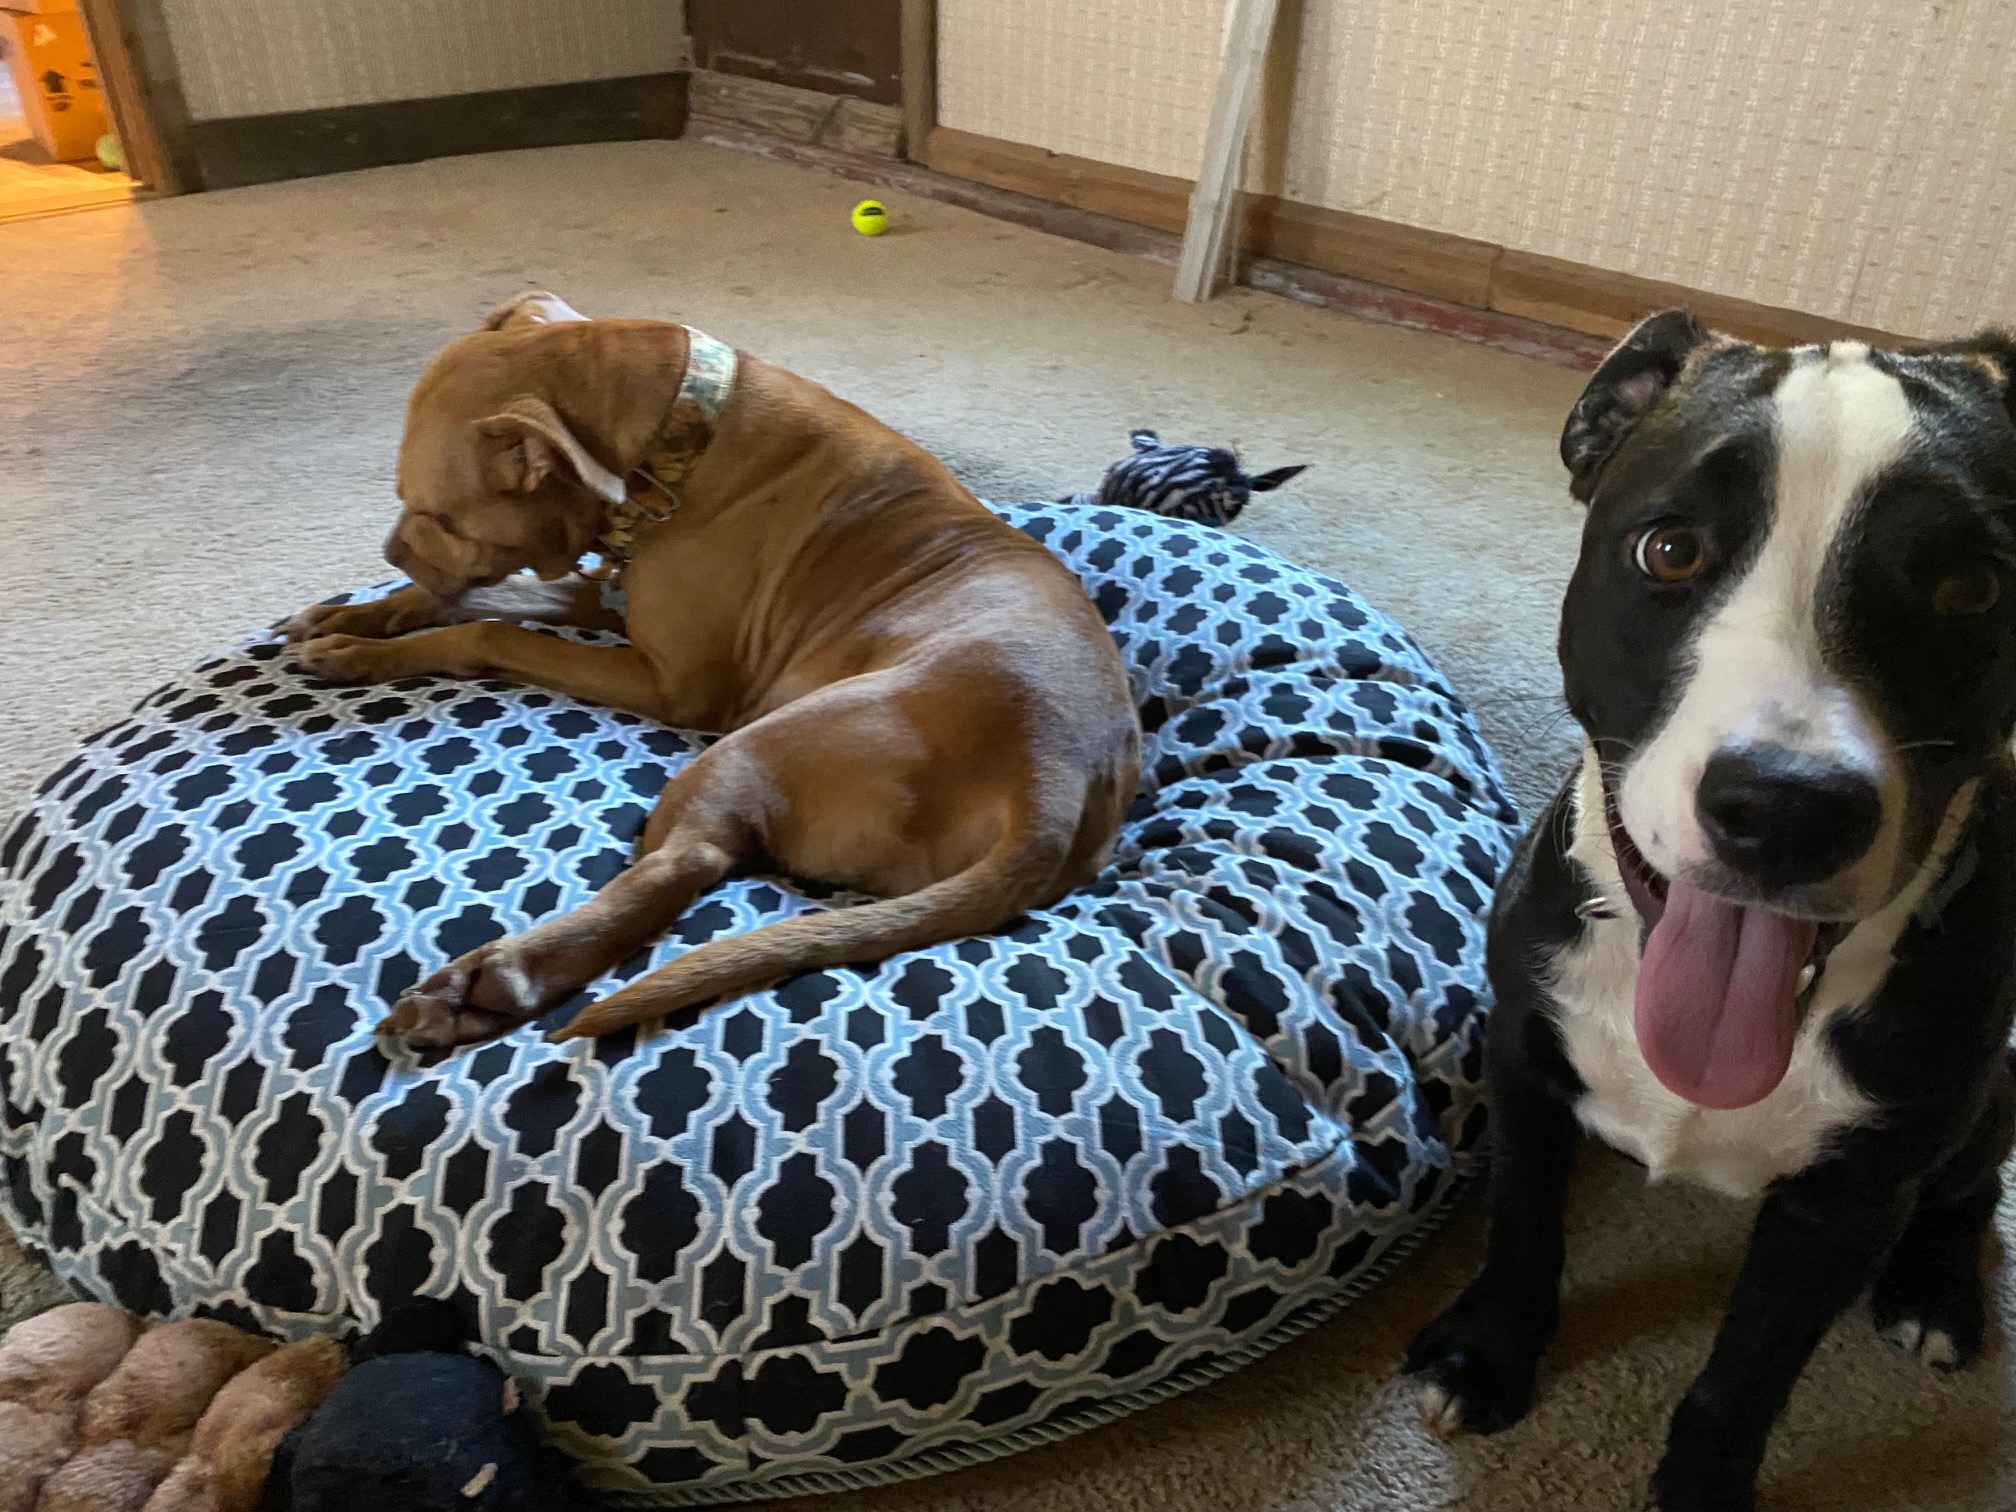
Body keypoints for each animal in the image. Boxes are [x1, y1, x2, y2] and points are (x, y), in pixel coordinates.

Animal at [284, 292, 1139, 1048]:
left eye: (436, 515)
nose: (390, 551)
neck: (677, 439)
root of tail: (1051, 790)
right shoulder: (605, 593)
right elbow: (493, 596)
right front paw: (360, 622)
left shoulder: (669, 683)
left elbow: (492, 628)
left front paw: (368, 648)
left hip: (758, 745)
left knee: (689, 859)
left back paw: (490, 982)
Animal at [1404, 310, 2016, 1511]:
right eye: (1671, 550)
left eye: (1970, 589)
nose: (1786, 807)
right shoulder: (1522, 1052)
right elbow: (1521, 1223)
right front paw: (1487, 1353)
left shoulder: (1847, 1200)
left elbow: (1749, 1371)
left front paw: (1699, 1484)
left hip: (1994, 1094)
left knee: (1968, 1191)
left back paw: (1934, 1293)